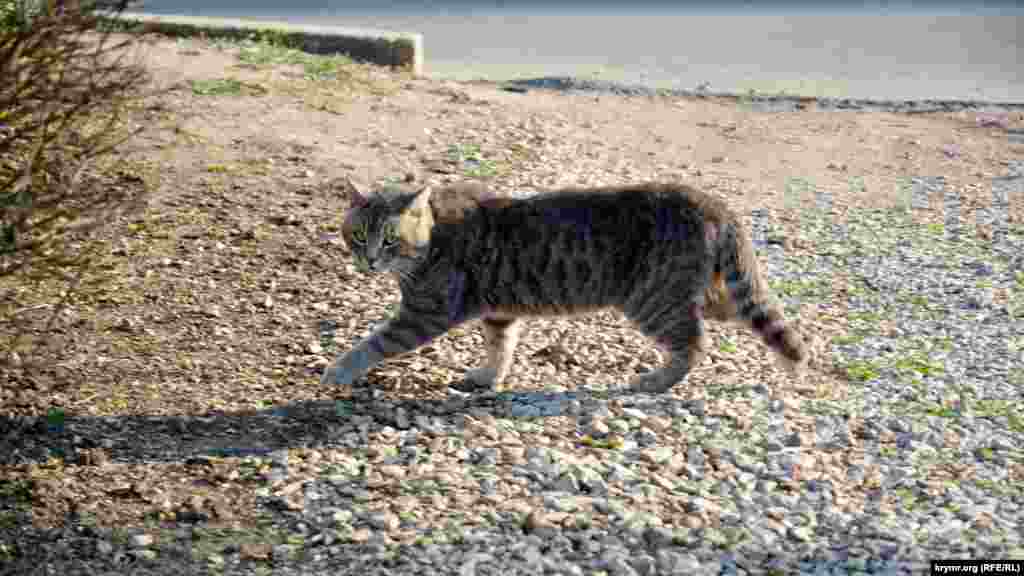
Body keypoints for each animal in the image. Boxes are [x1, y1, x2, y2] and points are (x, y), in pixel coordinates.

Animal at [319, 178, 806, 393]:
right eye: (358, 235)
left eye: (389, 239)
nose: (368, 259)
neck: (433, 236)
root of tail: (711, 202)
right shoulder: (499, 312)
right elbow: (501, 348)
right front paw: (488, 376)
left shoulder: (425, 312)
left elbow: (374, 343)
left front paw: (339, 370)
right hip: (705, 294)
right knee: (752, 315)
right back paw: (789, 360)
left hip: (653, 301)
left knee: (694, 343)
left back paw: (656, 380)